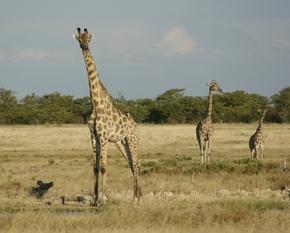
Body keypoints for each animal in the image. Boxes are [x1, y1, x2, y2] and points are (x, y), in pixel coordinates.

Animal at [73, 27, 142, 206]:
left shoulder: (103, 137)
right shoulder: (94, 136)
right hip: (121, 142)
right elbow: (95, 167)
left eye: (88, 38)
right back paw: (139, 196)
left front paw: (102, 199)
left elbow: (104, 167)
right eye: (79, 39)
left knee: (136, 164)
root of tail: (135, 124)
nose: (85, 47)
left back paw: (136, 199)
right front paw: (94, 199)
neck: (96, 104)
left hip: (132, 139)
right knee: (131, 164)